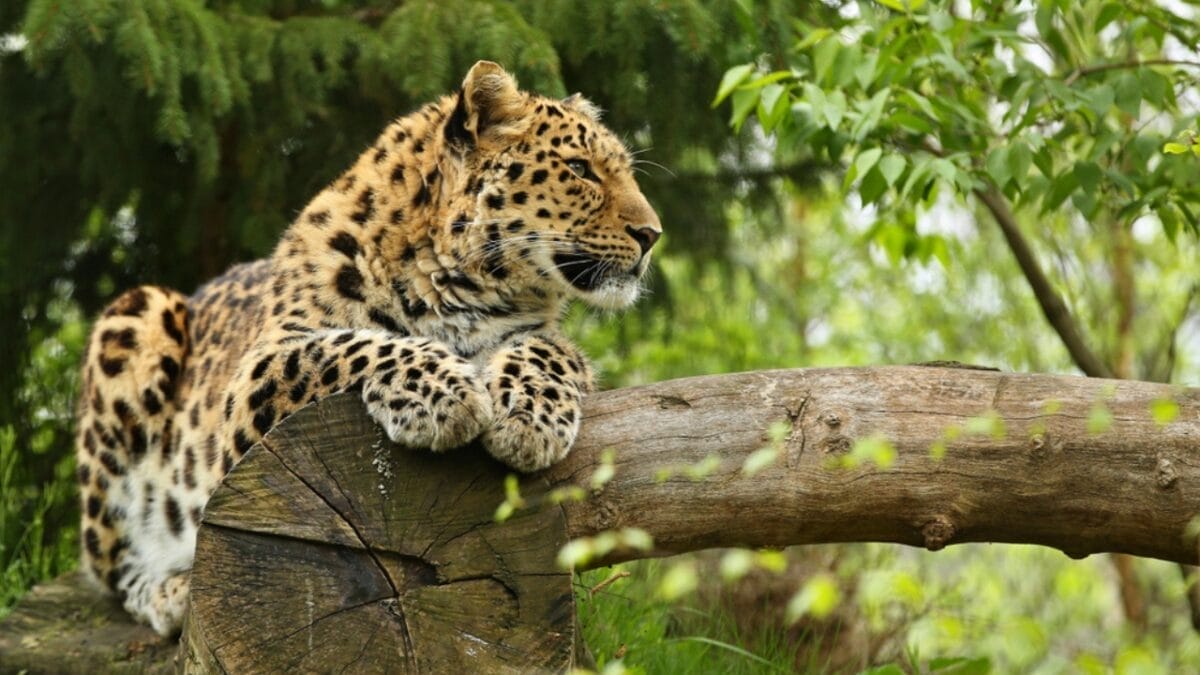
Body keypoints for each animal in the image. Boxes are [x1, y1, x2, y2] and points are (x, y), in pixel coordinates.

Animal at [73, 61, 661, 636]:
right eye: (580, 169)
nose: (653, 234)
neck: (461, 283)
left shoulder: (547, 339)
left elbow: (546, 351)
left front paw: (529, 421)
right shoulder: (256, 376)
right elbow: (357, 344)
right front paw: (446, 395)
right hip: (136, 319)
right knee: (113, 567)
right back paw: (170, 592)